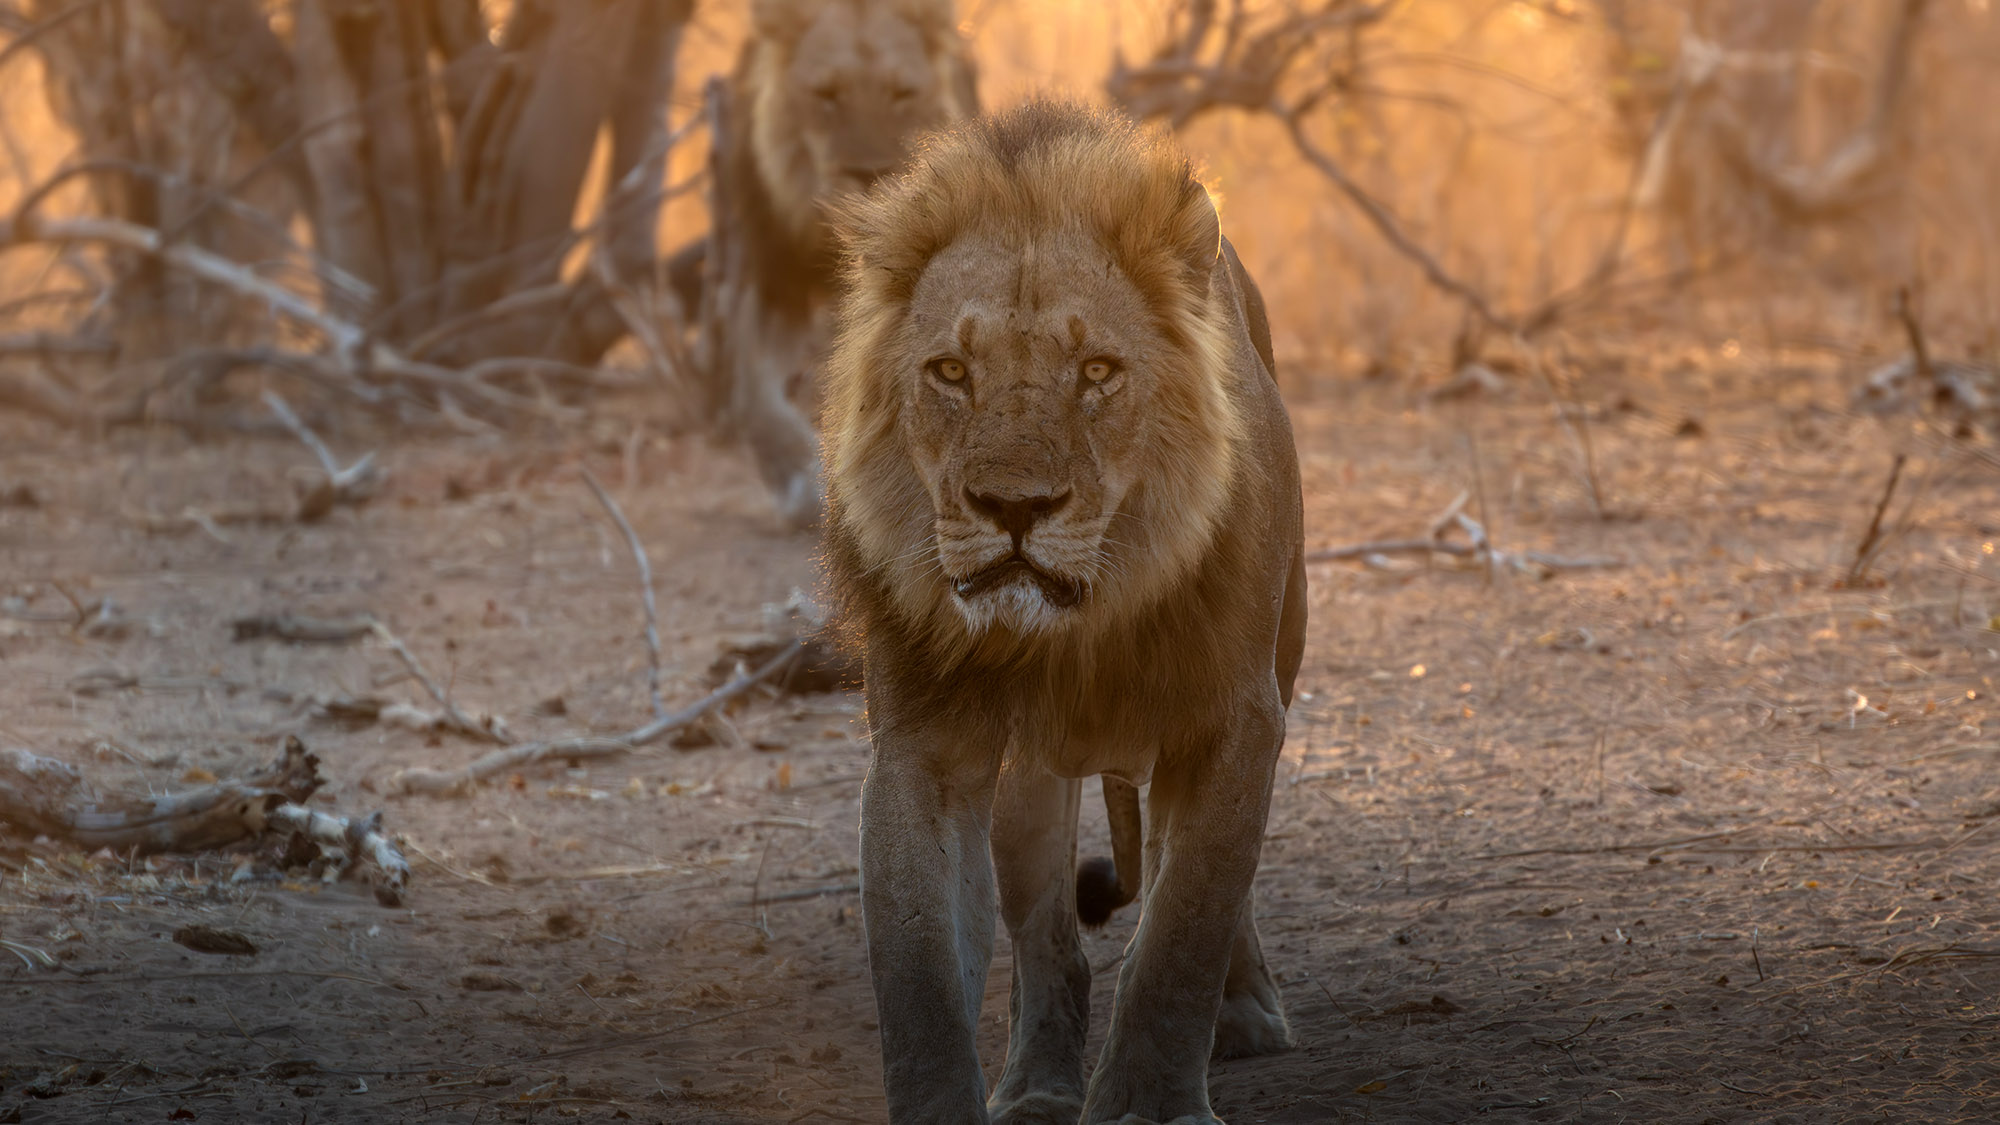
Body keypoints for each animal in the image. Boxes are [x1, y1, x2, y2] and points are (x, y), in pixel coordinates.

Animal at [669, 0, 978, 529]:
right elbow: (754, 393)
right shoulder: (770, 276)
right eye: (826, 95)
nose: (871, 172)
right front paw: (795, 481)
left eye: (902, 94)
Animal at [822, 101, 1306, 1124]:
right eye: (951, 371)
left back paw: (1245, 1013)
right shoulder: (923, 742)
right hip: (1034, 775)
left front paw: (1148, 1105)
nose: (1014, 507)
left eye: (1097, 370)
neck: (1083, 625)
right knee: (1046, 924)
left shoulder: (1237, 716)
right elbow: (919, 971)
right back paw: (1039, 1083)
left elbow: (1184, 925)